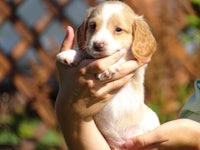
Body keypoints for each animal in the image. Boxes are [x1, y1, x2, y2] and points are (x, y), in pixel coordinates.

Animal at [57, 0, 160, 149]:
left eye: (118, 29)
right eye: (92, 26)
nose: (97, 45)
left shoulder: (139, 64)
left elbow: (123, 56)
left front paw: (109, 68)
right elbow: (86, 52)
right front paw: (70, 54)